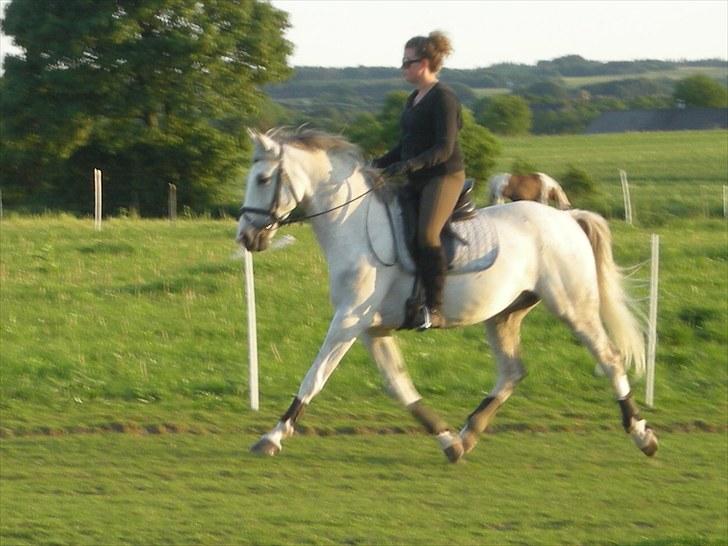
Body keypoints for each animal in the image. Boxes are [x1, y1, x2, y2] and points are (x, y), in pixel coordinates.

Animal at [236, 126, 656, 460]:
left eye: (263, 179)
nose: (246, 237)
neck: (352, 225)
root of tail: (568, 218)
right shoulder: (372, 328)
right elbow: (400, 385)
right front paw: (447, 440)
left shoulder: (349, 320)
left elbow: (315, 376)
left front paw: (272, 436)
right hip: (504, 314)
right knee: (512, 371)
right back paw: (468, 434)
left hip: (573, 307)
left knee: (609, 358)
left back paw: (642, 435)